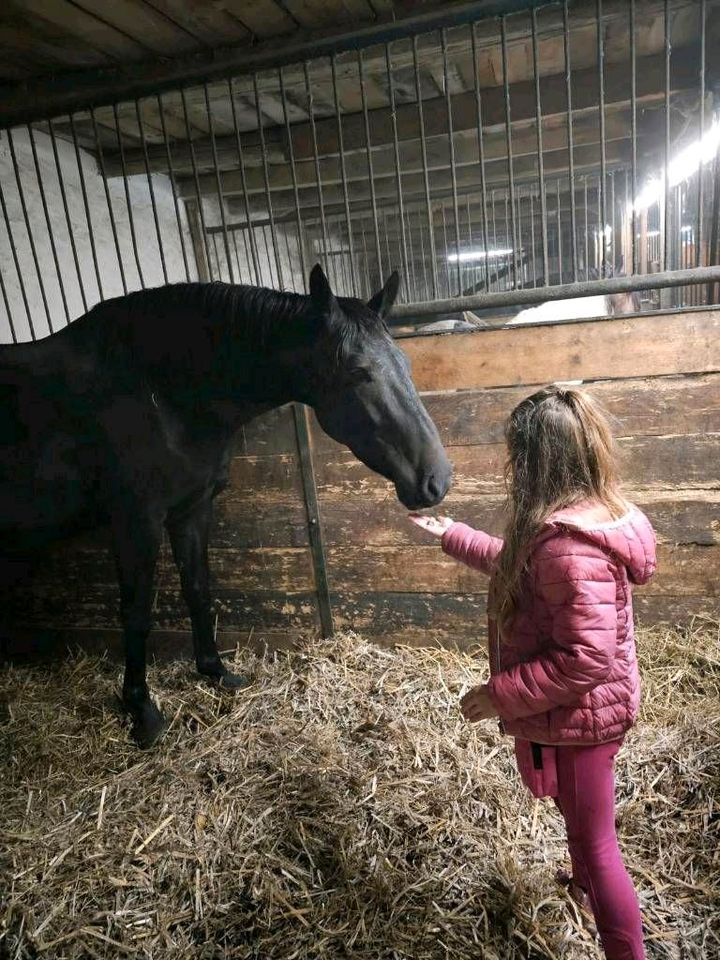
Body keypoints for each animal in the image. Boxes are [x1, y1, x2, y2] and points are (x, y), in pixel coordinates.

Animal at [0, 266, 450, 748]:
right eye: (358, 371)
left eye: (405, 364)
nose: (437, 480)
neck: (161, 391)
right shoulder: (136, 521)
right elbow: (136, 612)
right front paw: (142, 711)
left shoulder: (192, 510)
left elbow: (198, 588)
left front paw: (216, 672)